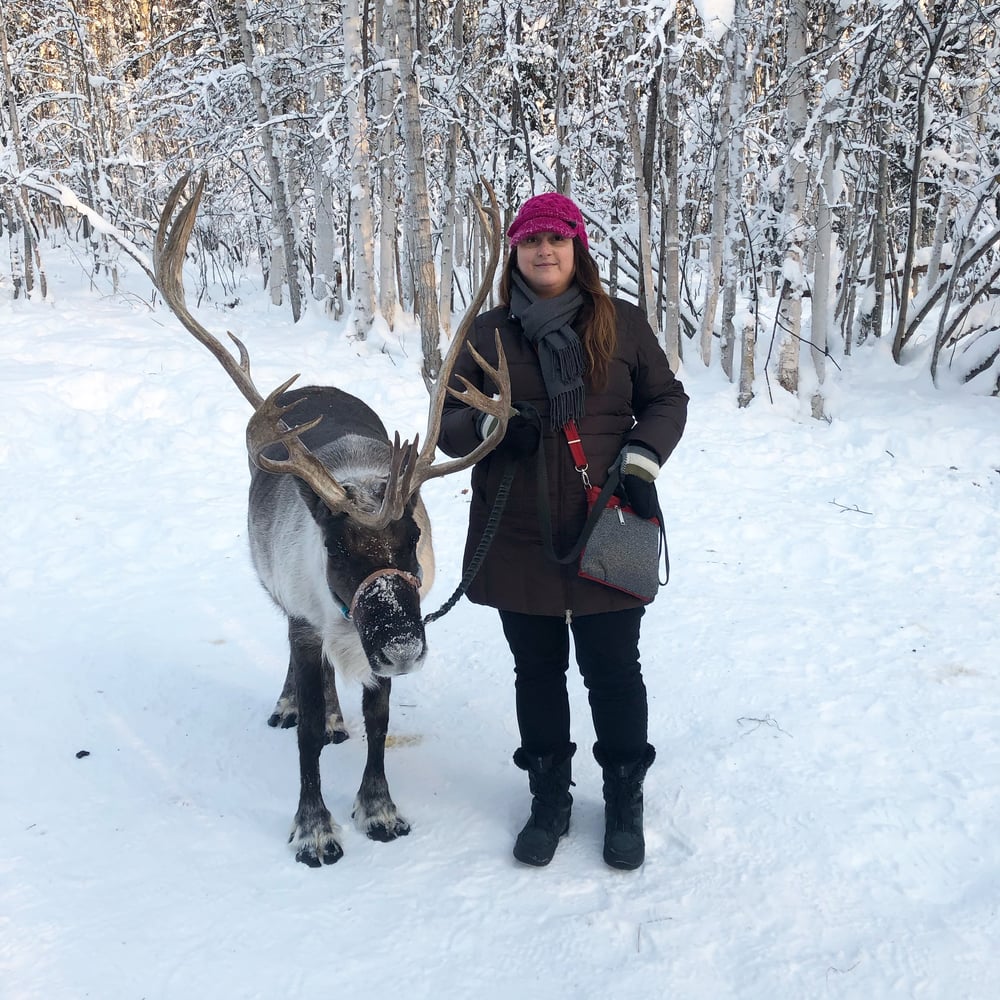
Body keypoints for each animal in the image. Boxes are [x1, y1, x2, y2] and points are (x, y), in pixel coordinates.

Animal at [153, 173, 511, 866]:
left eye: (413, 537)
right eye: (338, 547)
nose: (405, 648)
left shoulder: (374, 642)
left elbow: (379, 722)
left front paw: (379, 810)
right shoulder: (305, 617)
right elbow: (309, 734)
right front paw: (314, 827)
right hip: (280, 597)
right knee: (304, 679)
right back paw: (288, 704)